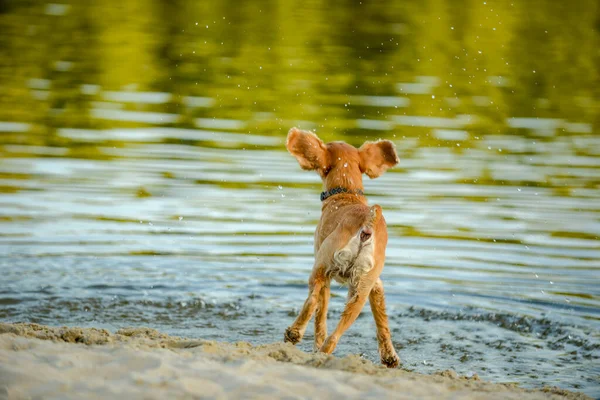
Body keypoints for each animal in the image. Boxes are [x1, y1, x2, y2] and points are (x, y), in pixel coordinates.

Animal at [284, 126, 400, 368]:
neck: (347, 192)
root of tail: (368, 221)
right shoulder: (376, 285)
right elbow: (382, 321)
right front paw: (389, 356)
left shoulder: (325, 274)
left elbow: (319, 316)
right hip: (359, 292)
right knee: (335, 336)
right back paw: (322, 353)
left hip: (320, 270)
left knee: (312, 302)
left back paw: (294, 333)